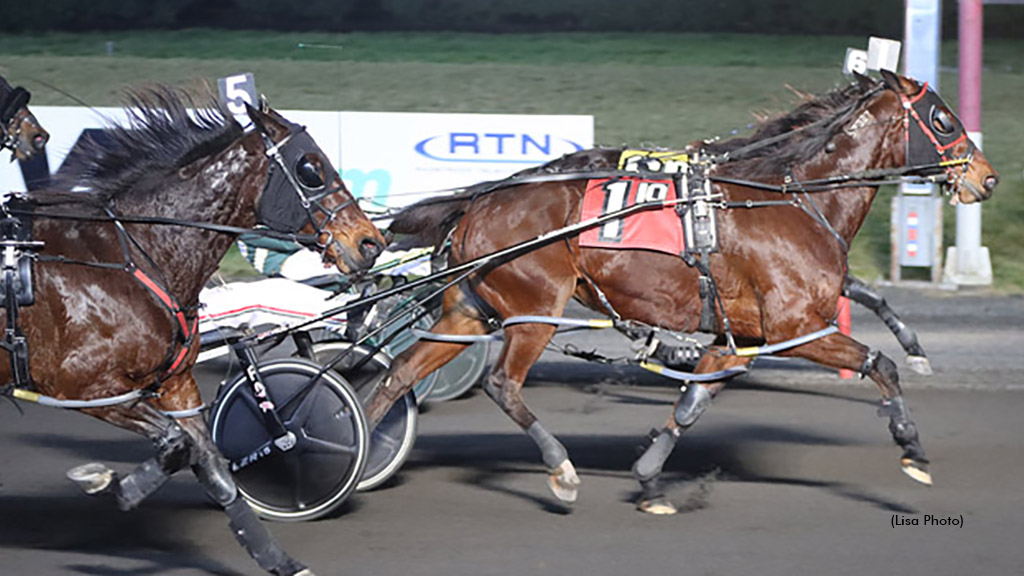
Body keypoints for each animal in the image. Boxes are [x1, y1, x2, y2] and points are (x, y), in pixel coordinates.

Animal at [2, 86, 385, 573]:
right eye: (310, 168)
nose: (371, 242)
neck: (134, 255)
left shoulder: (177, 383)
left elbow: (210, 463)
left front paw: (279, 560)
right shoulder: (82, 385)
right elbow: (175, 444)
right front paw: (110, 481)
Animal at [370, 69, 999, 512]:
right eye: (943, 120)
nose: (987, 178)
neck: (790, 199)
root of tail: (480, 200)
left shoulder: (741, 336)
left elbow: (694, 403)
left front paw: (650, 481)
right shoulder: (796, 330)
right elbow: (879, 365)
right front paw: (912, 448)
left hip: (468, 312)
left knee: (398, 374)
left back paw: (361, 451)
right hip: (533, 310)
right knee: (502, 384)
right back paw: (560, 468)